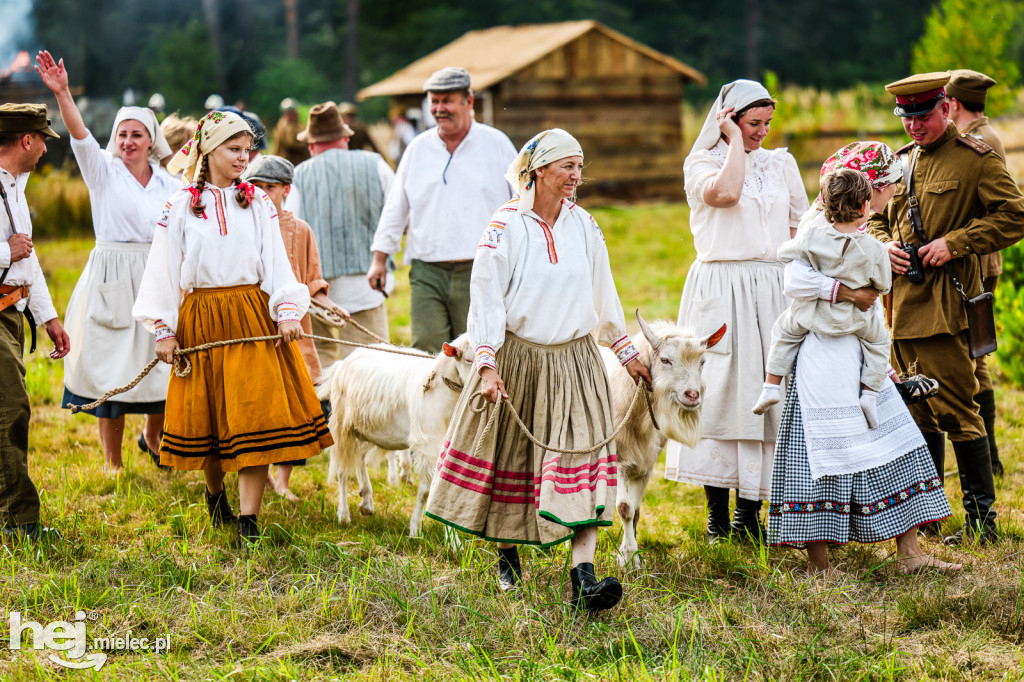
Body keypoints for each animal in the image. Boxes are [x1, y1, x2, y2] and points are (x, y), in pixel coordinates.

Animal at [315, 333, 475, 536]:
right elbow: (427, 491)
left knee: (359, 458)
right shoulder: (428, 445)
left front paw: (452, 540)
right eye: (469, 360)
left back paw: (366, 501)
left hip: (369, 430)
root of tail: (343, 363)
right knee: (343, 470)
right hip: (344, 426)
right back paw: (344, 515)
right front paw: (416, 531)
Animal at [598, 311, 729, 565]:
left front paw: (633, 554)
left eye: (703, 362)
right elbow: (624, 508)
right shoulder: (616, 463)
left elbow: (635, 511)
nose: (692, 395)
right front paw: (627, 558)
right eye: (666, 360)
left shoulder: (645, 467)